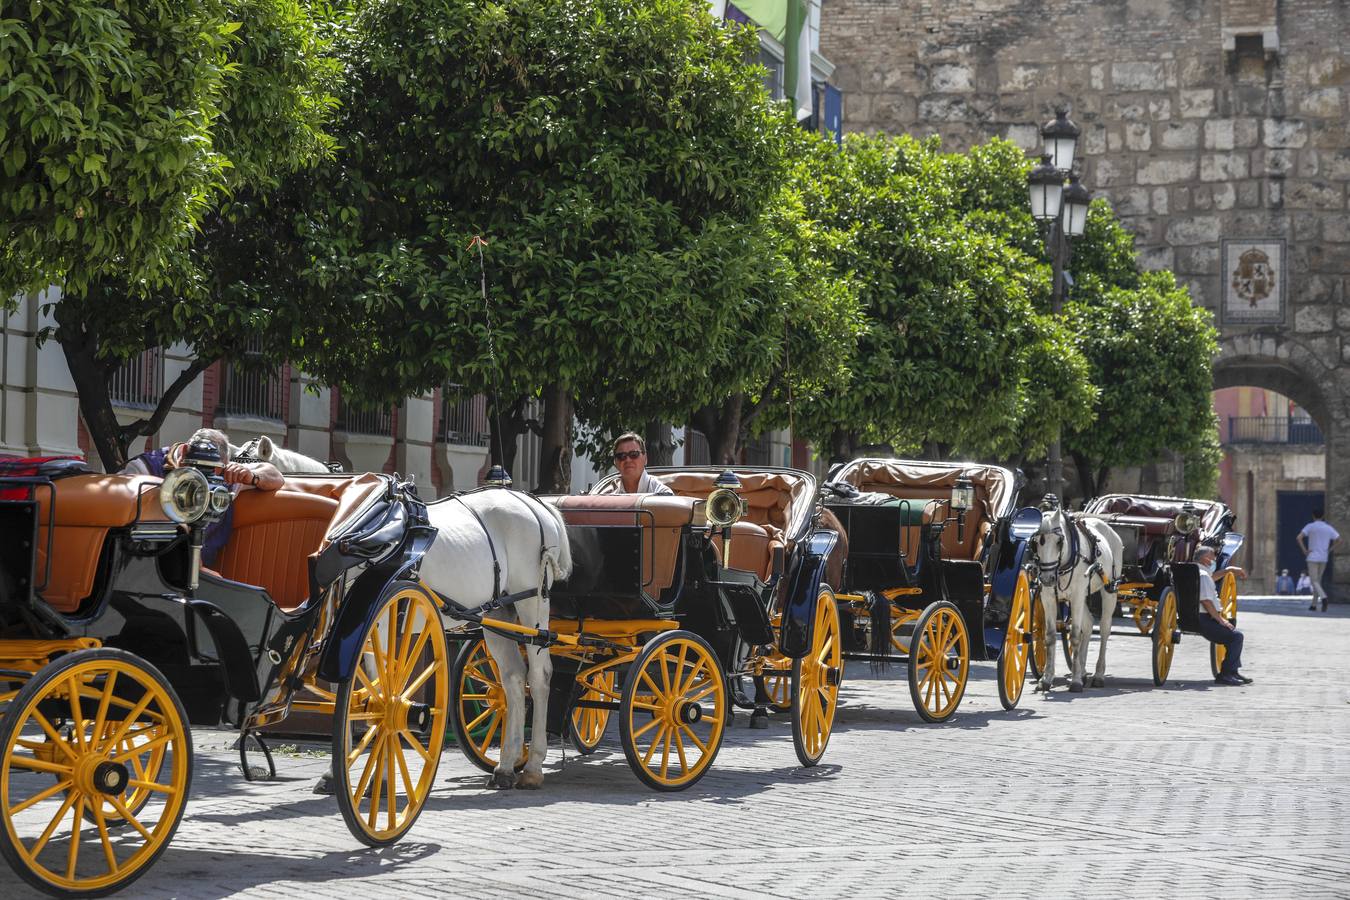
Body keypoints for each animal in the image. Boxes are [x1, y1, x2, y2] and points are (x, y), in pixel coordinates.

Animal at [421, 488, 569, 793]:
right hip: (497, 611)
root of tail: (533, 501)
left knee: (539, 676)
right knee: (513, 678)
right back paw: (506, 766)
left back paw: (533, 768)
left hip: (533, 602)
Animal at [1031, 499, 1128, 696]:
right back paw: (1082, 671)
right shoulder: (1048, 598)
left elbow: (1075, 636)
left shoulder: (1075, 596)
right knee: (1089, 624)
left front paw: (1075, 682)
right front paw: (1046, 680)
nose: (1047, 578)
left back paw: (1098, 675)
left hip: (1109, 591)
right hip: (1081, 597)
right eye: (1036, 542)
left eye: (1059, 541)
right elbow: (1049, 636)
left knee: (1104, 629)